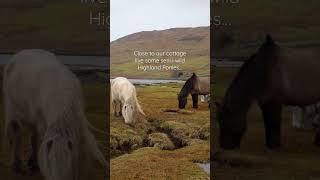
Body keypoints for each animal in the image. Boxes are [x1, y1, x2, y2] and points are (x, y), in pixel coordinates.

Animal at [2, 50, 107, 180]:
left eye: (68, 164)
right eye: (50, 165)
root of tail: (22, 52)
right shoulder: (41, 122)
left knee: (32, 135)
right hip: (13, 110)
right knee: (16, 135)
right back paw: (16, 165)